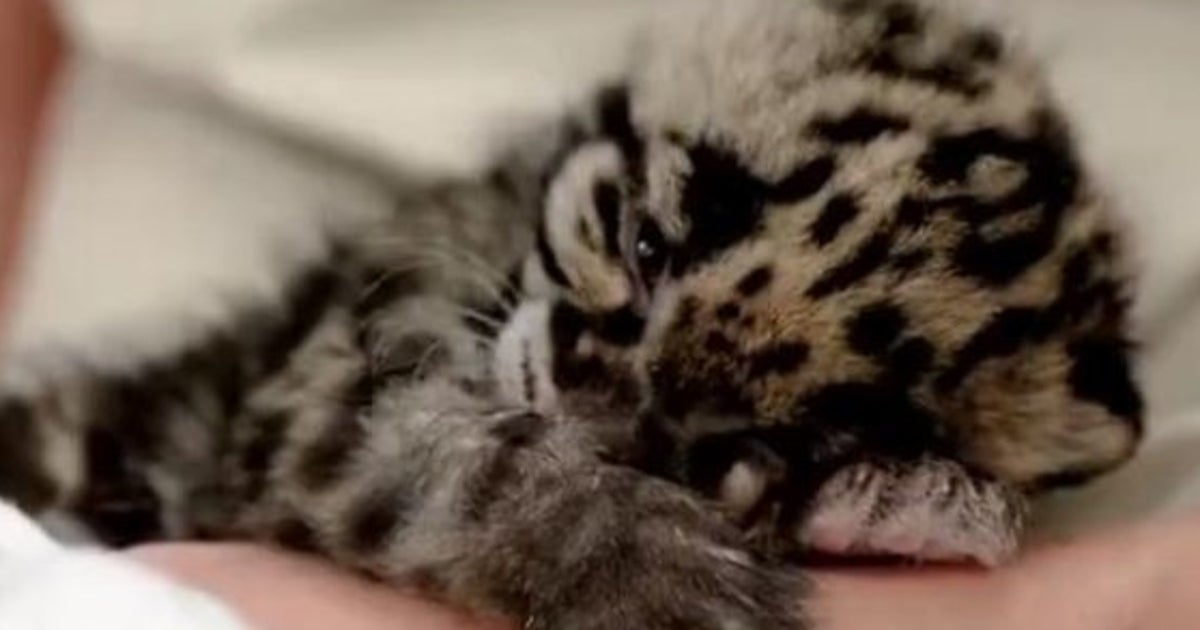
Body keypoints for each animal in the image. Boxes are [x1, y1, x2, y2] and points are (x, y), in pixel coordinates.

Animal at [0, 0, 1142, 627]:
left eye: (768, 429)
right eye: (646, 246)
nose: (587, 419)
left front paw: (908, 502)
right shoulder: (324, 387)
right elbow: (476, 469)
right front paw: (667, 580)